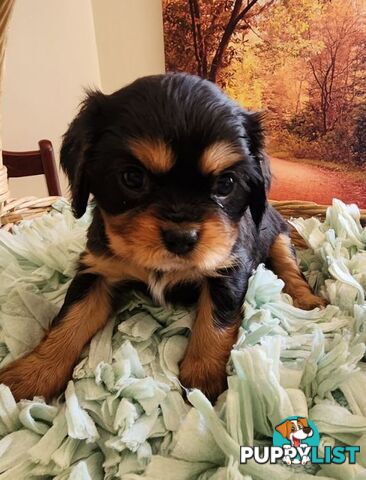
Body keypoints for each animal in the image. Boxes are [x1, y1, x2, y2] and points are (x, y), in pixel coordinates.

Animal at [0, 72, 326, 402]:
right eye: (132, 178)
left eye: (225, 183)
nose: (182, 237)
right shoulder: (98, 270)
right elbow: (70, 319)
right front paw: (32, 374)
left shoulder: (228, 267)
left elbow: (216, 319)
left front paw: (202, 376)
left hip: (279, 236)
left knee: (289, 269)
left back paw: (308, 301)